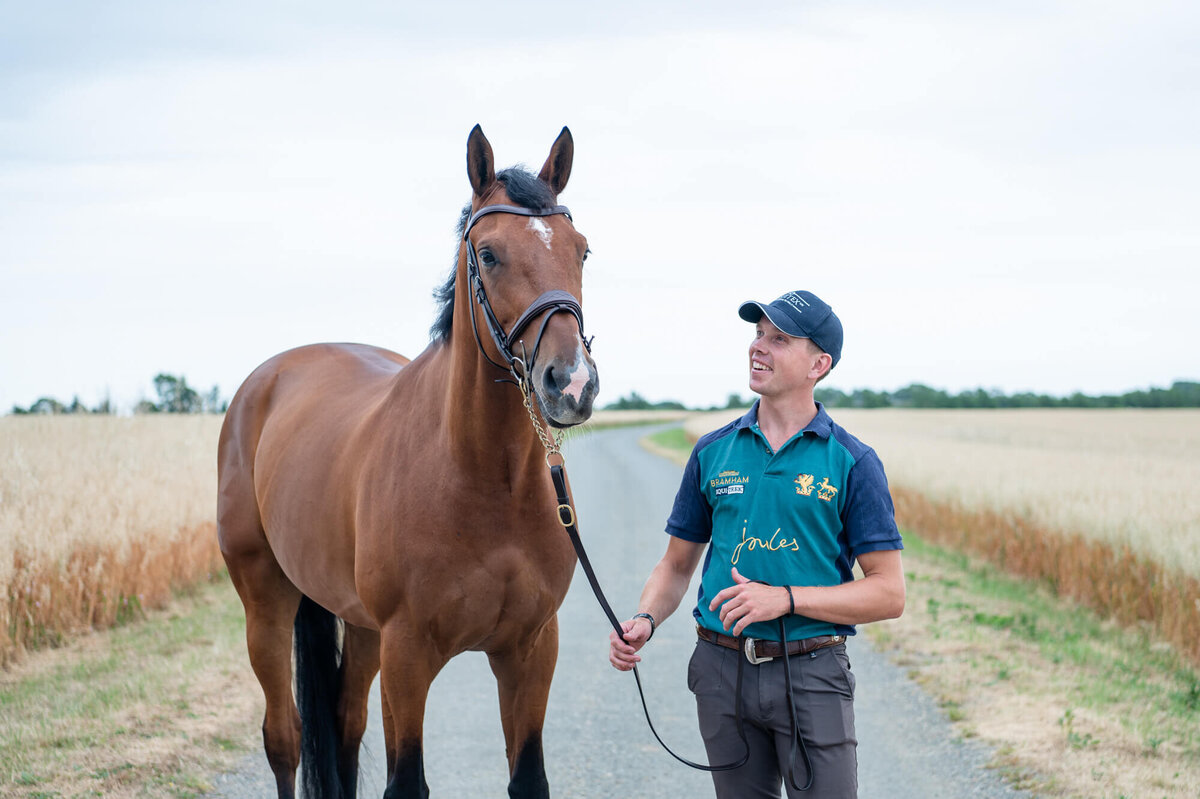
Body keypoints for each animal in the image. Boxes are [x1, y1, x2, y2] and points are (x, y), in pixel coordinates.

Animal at [217, 125, 600, 796]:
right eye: (489, 255)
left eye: (581, 251)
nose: (571, 384)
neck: (485, 478)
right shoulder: (409, 654)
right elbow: (406, 781)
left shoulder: (530, 650)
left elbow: (528, 777)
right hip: (267, 601)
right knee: (284, 738)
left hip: (361, 628)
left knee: (343, 727)